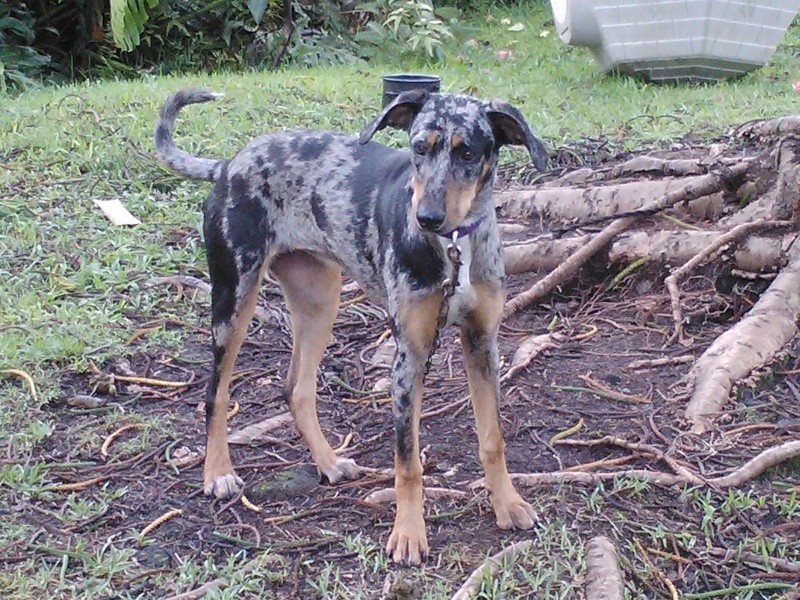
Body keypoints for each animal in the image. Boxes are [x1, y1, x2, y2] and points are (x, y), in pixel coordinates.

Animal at [153, 86, 548, 564]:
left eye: (467, 152)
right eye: (419, 148)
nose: (426, 218)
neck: (455, 247)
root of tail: (230, 165)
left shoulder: (482, 343)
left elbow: (493, 439)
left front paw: (507, 503)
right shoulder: (408, 357)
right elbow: (408, 461)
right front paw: (409, 533)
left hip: (320, 300)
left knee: (296, 388)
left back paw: (328, 463)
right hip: (234, 298)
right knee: (216, 392)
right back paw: (218, 473)